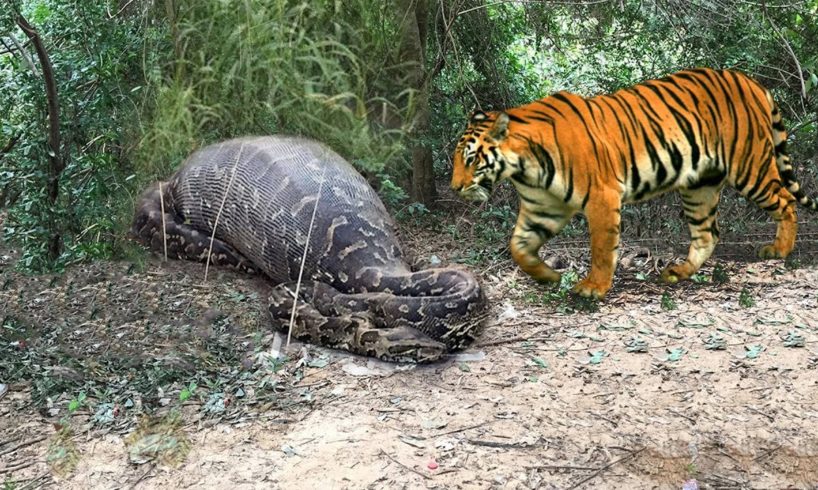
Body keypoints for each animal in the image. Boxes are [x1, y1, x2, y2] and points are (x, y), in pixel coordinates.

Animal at [450, 68, 817, 299]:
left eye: (470, 160)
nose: (454, 188)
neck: (525, 167)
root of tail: (751, 82)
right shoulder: (542, 208)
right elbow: (518, 246)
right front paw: (549, 276)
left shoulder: (602, 197)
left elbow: (601, 248)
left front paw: (592, 288)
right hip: (699, 186)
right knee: (707, 234)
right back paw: (678, 272)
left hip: (750, 168)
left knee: (785, 201)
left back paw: (779, 250)